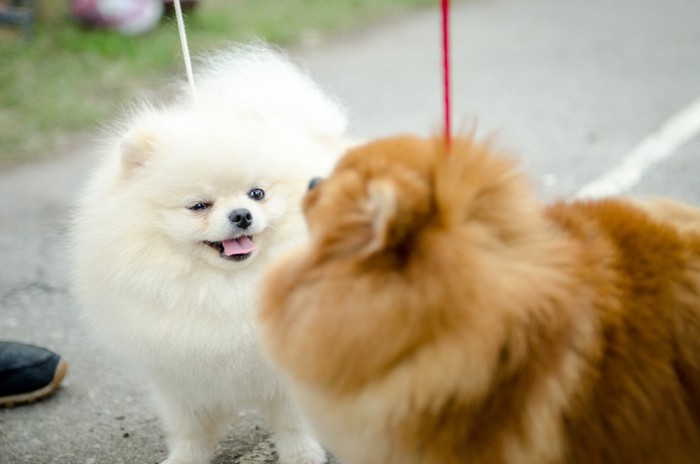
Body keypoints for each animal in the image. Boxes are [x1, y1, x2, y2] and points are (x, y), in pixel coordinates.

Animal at [71, 44, 350, 464]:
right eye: (199, 205)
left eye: (257, 193)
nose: (242, 215)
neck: (231, 287)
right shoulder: (178, 374)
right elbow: (191, 427)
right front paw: (185, 457)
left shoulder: (291, 360)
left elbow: (293, 421)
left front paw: (301, 454)